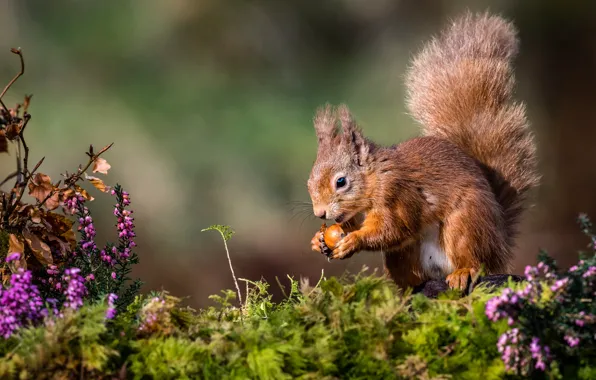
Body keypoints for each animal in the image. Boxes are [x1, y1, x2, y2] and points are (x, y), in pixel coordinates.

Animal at [308, 12, 540, 290]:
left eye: (341, 182)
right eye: (309, 182)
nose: (320, 213)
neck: (374, 180)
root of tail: (499, 244)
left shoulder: (398, 193)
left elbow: (394, 228)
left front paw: (355, 241)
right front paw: (318, 240)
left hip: (466, 224)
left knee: (474, 259)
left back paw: (464, 271)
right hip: (405, 256)